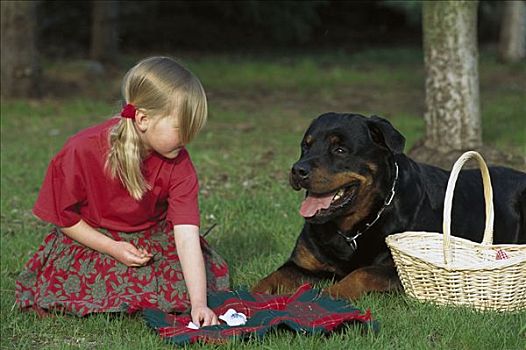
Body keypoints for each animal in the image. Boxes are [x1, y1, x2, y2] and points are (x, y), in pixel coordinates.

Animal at [253, 113, 526, 300]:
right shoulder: (301, 264)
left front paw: (328, 296)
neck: (353, 228)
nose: (298, 170)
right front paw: (251, 296)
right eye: (305, 146)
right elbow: (273, 276)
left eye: (339, 149)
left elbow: (361, 273)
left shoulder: (400, 268)